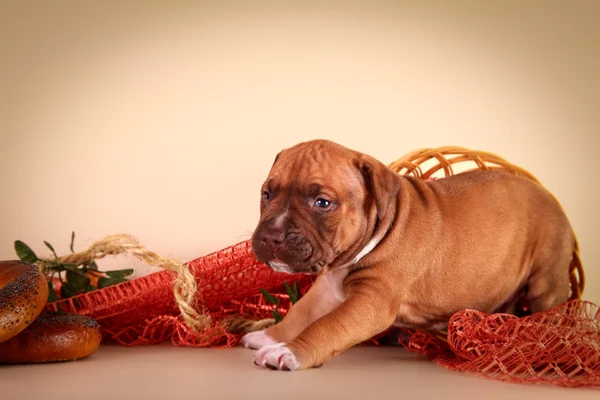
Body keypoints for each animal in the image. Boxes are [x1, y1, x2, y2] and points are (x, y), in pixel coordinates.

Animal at [241, 141, 576, 372]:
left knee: (552, 310)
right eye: (266, 194)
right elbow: (300, 314)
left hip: (546, 279)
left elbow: (326, 326)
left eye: (322, 203)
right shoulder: (326, 290)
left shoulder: (371, 302)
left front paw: (289, 352)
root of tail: (550, 196)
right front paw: (269, 336)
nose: (271, 236)